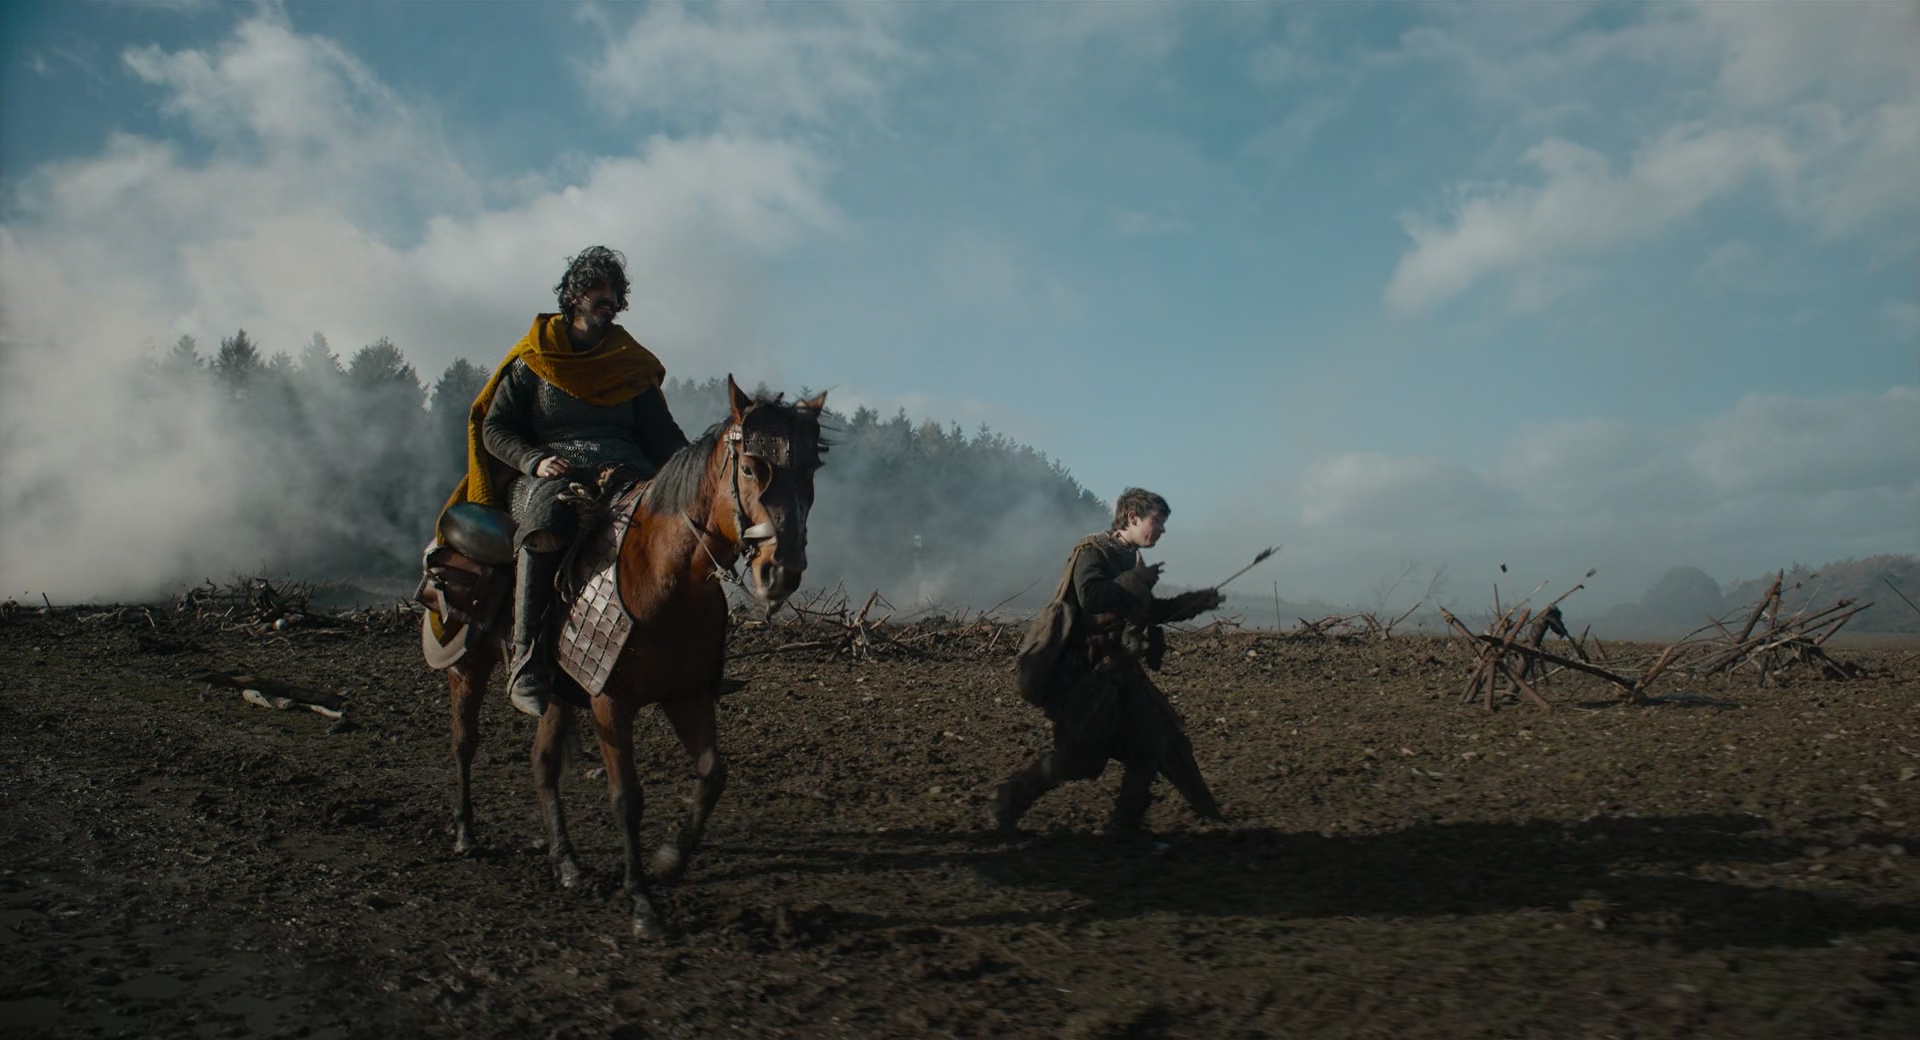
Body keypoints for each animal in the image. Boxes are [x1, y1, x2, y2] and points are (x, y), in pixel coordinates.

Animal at [442, 376, 826, 937]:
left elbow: (713, 774)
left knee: (543, 765)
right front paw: (642, 901)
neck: (665, 577)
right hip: (468, 664)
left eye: (810, 472)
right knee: (465, 741)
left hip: (558, 692)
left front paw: (669, 860)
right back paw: (466, 834)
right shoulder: (610, 702)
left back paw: (566, 864)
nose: (782, 572)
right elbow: (627, 799)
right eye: (751, 468)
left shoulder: (687, 696)